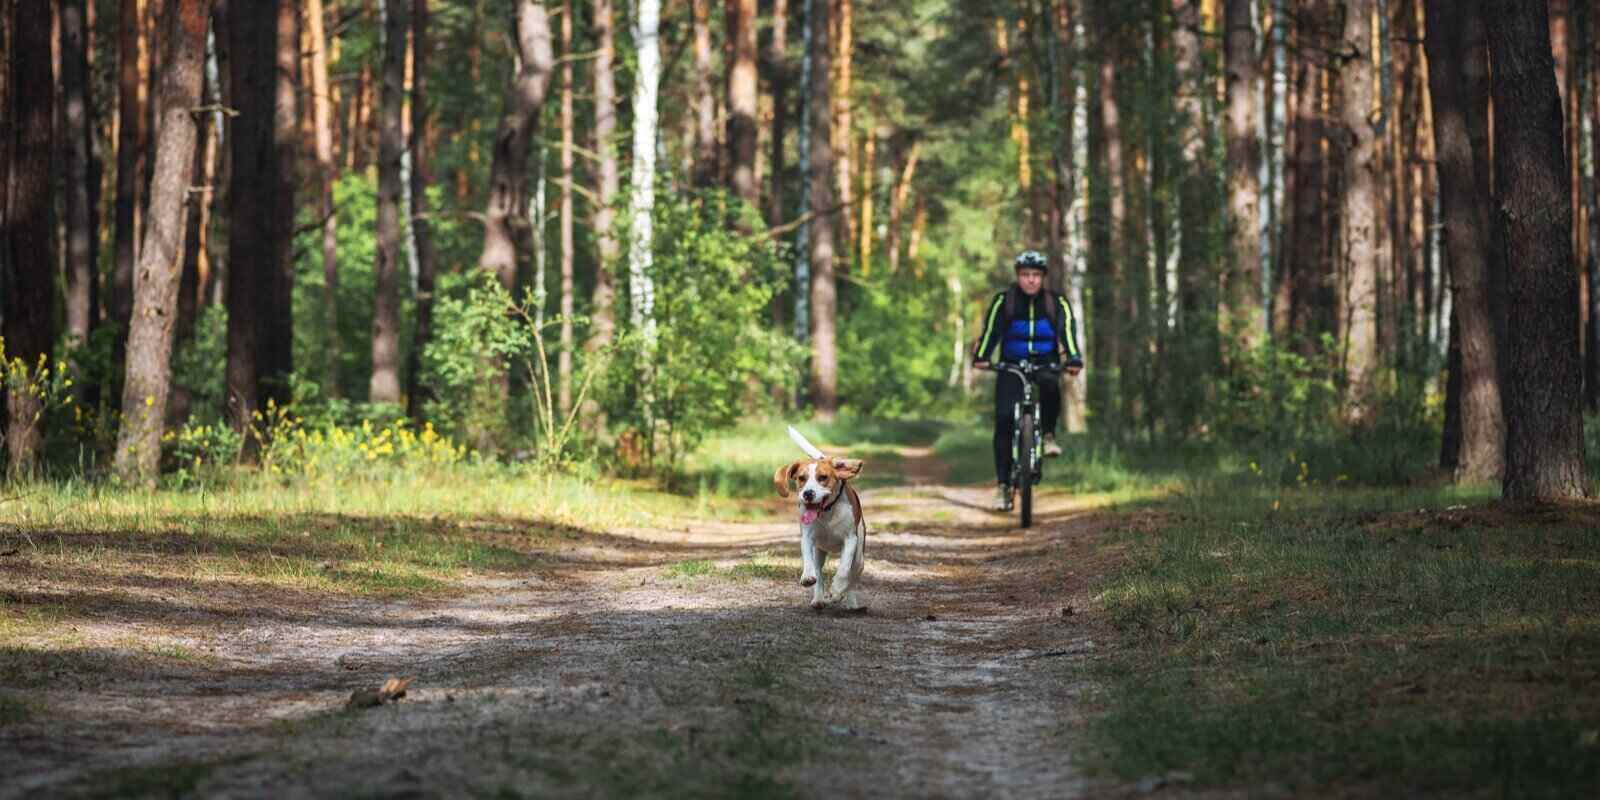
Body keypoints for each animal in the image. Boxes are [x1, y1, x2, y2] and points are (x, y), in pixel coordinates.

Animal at [771, 428, 870, 608]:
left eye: (823, 477)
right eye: (801, 478)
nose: (808, 494)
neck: (827, 513)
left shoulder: (850, 539)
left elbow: (844, 569)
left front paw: (837, 587)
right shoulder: (807, 537)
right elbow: (808, 560)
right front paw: (807, 576)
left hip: (859, 558)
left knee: (852, 579)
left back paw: (849, 601)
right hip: (820, 551)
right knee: (819, 573)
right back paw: (818, 599)